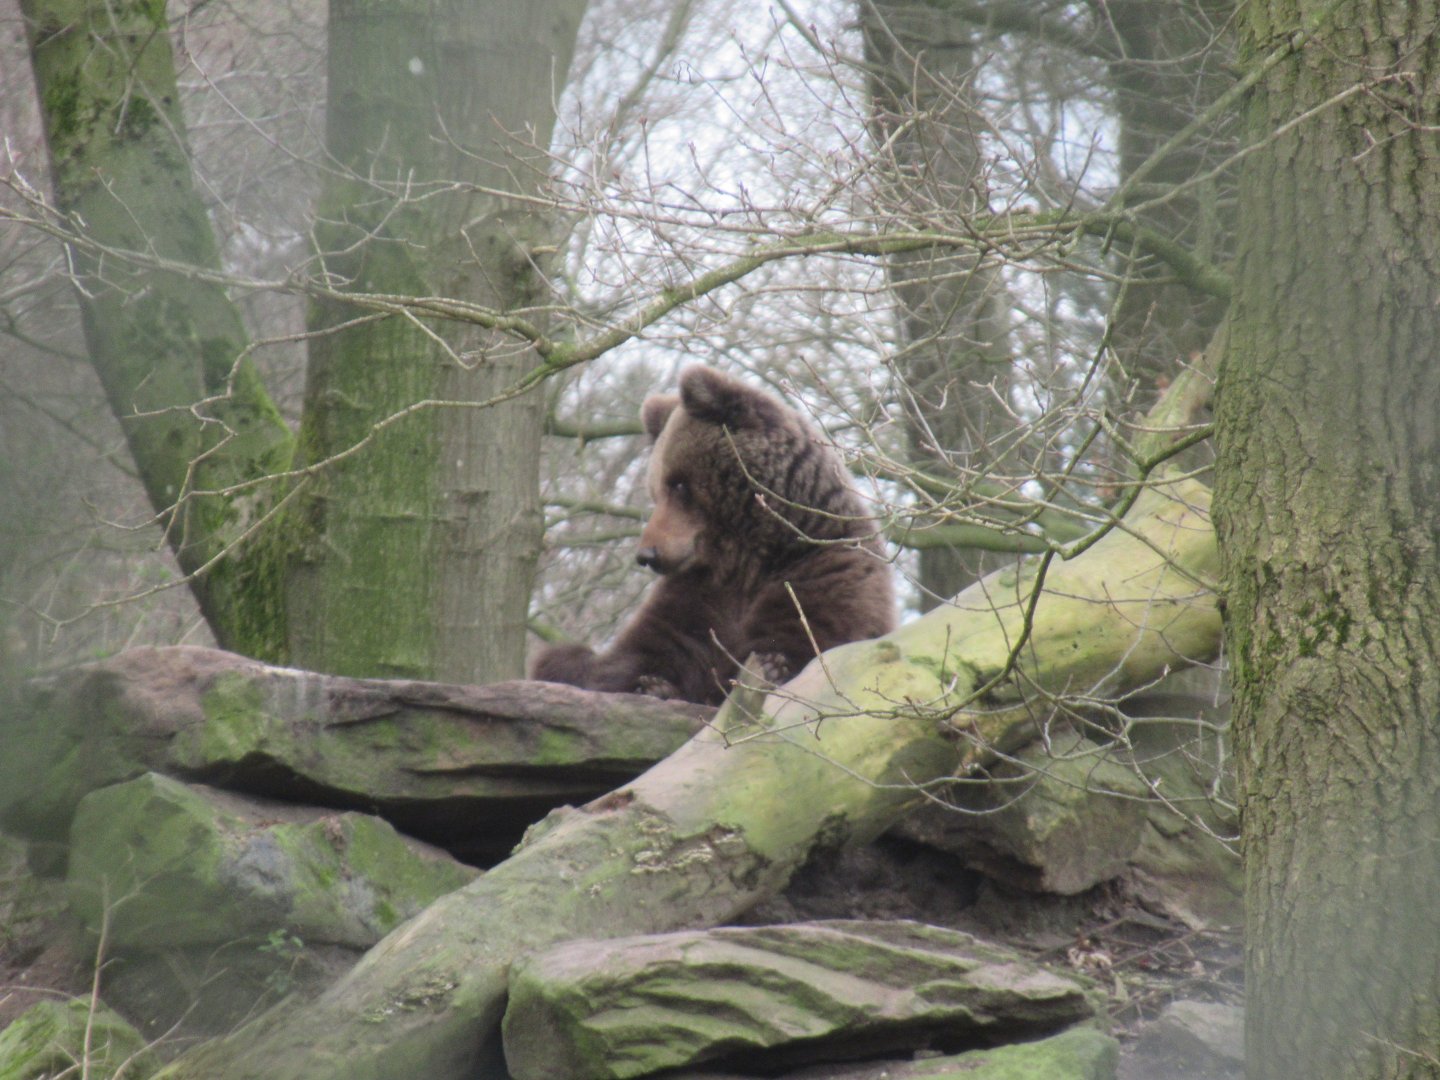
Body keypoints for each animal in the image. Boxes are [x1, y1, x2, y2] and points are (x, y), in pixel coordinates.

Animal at [530, 366, 896, 705]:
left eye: (678, 484)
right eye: (655, 491)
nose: (647, 555)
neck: (745, 556)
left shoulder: (824, 568)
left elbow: (804, 637)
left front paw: (773, 664)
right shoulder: (697, 596)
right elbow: (630, 658)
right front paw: (652, 684)